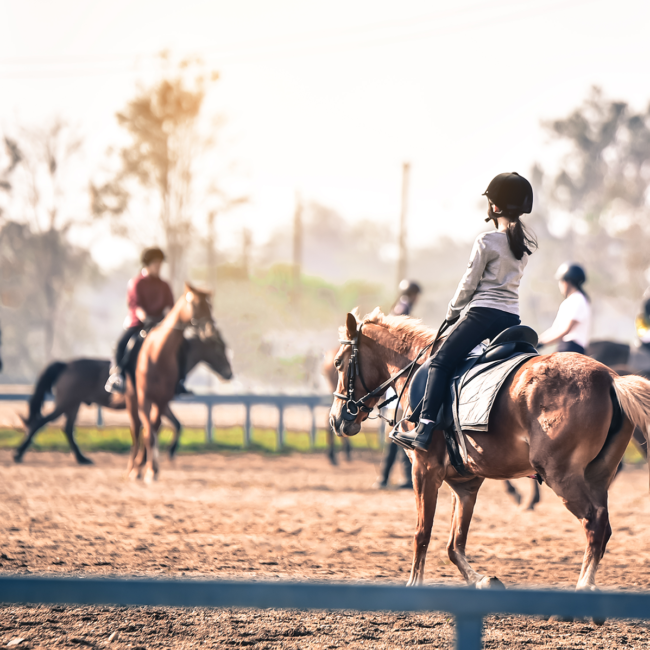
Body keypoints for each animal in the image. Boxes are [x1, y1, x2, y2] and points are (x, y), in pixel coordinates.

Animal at [13, 326, 233, 464]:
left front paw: (158, 454)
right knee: (40, 423)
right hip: (66, 403)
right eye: (218, 348)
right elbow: (163, 426)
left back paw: (82, 459)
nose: (229, 373)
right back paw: (18, 453)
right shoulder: (157, 403)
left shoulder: (161, 404)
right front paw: (157, 454)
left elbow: (175, 425)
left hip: (73, 405)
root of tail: (66, 365)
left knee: (67, 429)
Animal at [330, 310, 648, 592]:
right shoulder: (465, 484)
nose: (336, 419)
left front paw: (414, 584)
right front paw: (482, 580)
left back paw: (584, 586)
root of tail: (610, 378)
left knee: (594, 523)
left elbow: (422, 532)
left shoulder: (424, 469)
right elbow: (454, 544)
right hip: (597, 477)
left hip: (561, 476)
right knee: (604, 526)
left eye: (338, 363)